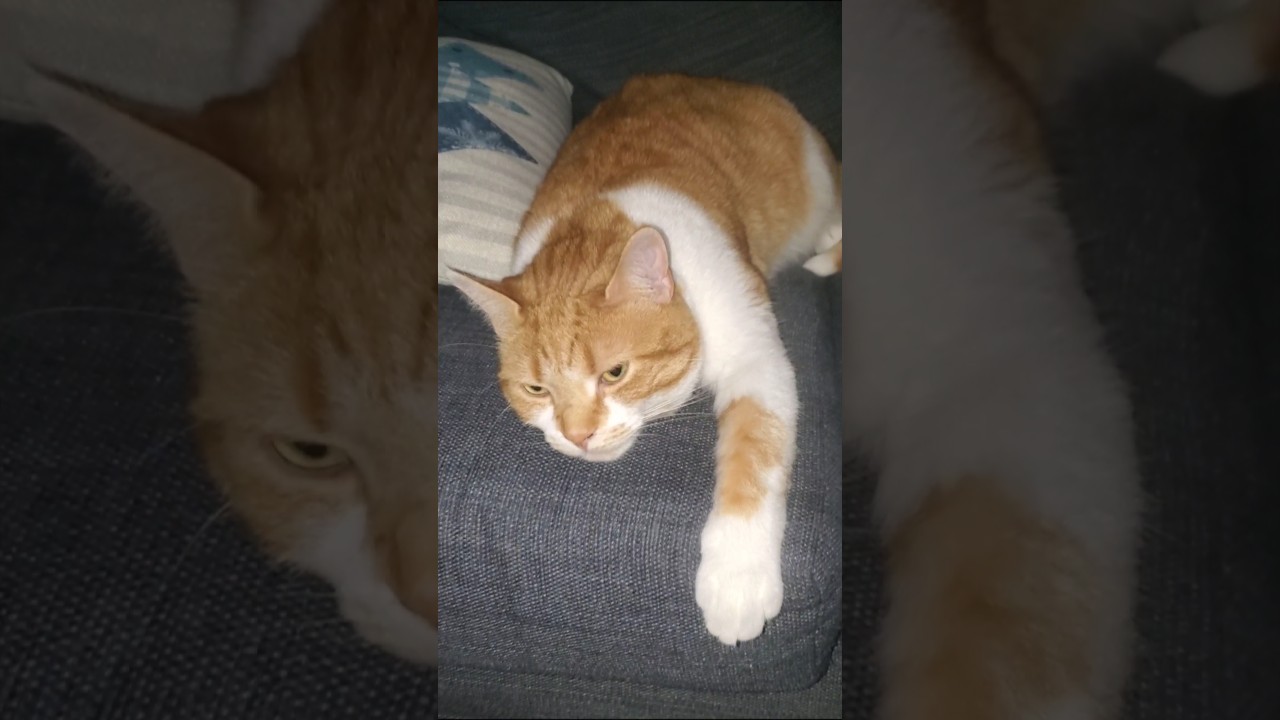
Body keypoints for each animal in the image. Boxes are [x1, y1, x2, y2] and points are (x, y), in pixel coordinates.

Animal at [449, 74, 842, 645]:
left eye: (615, 374)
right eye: (537, 390)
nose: (578, 435)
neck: (596, 220)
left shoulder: (754, 352)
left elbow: (754, 449)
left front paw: (736, 578)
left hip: (815, 178)